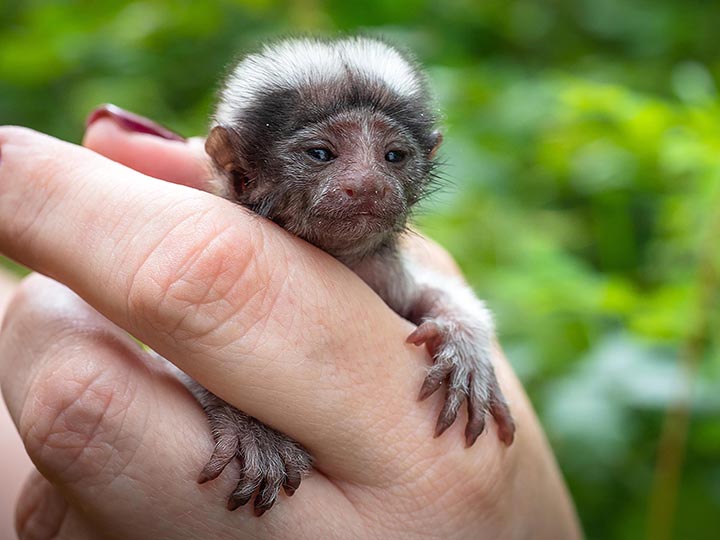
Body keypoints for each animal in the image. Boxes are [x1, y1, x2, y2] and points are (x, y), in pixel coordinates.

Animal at [186, 35, 512, 516]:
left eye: (392, 156)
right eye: (321, 154)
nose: (369, 184)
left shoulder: (386, 275)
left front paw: (464, 346)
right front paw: (252, 428)